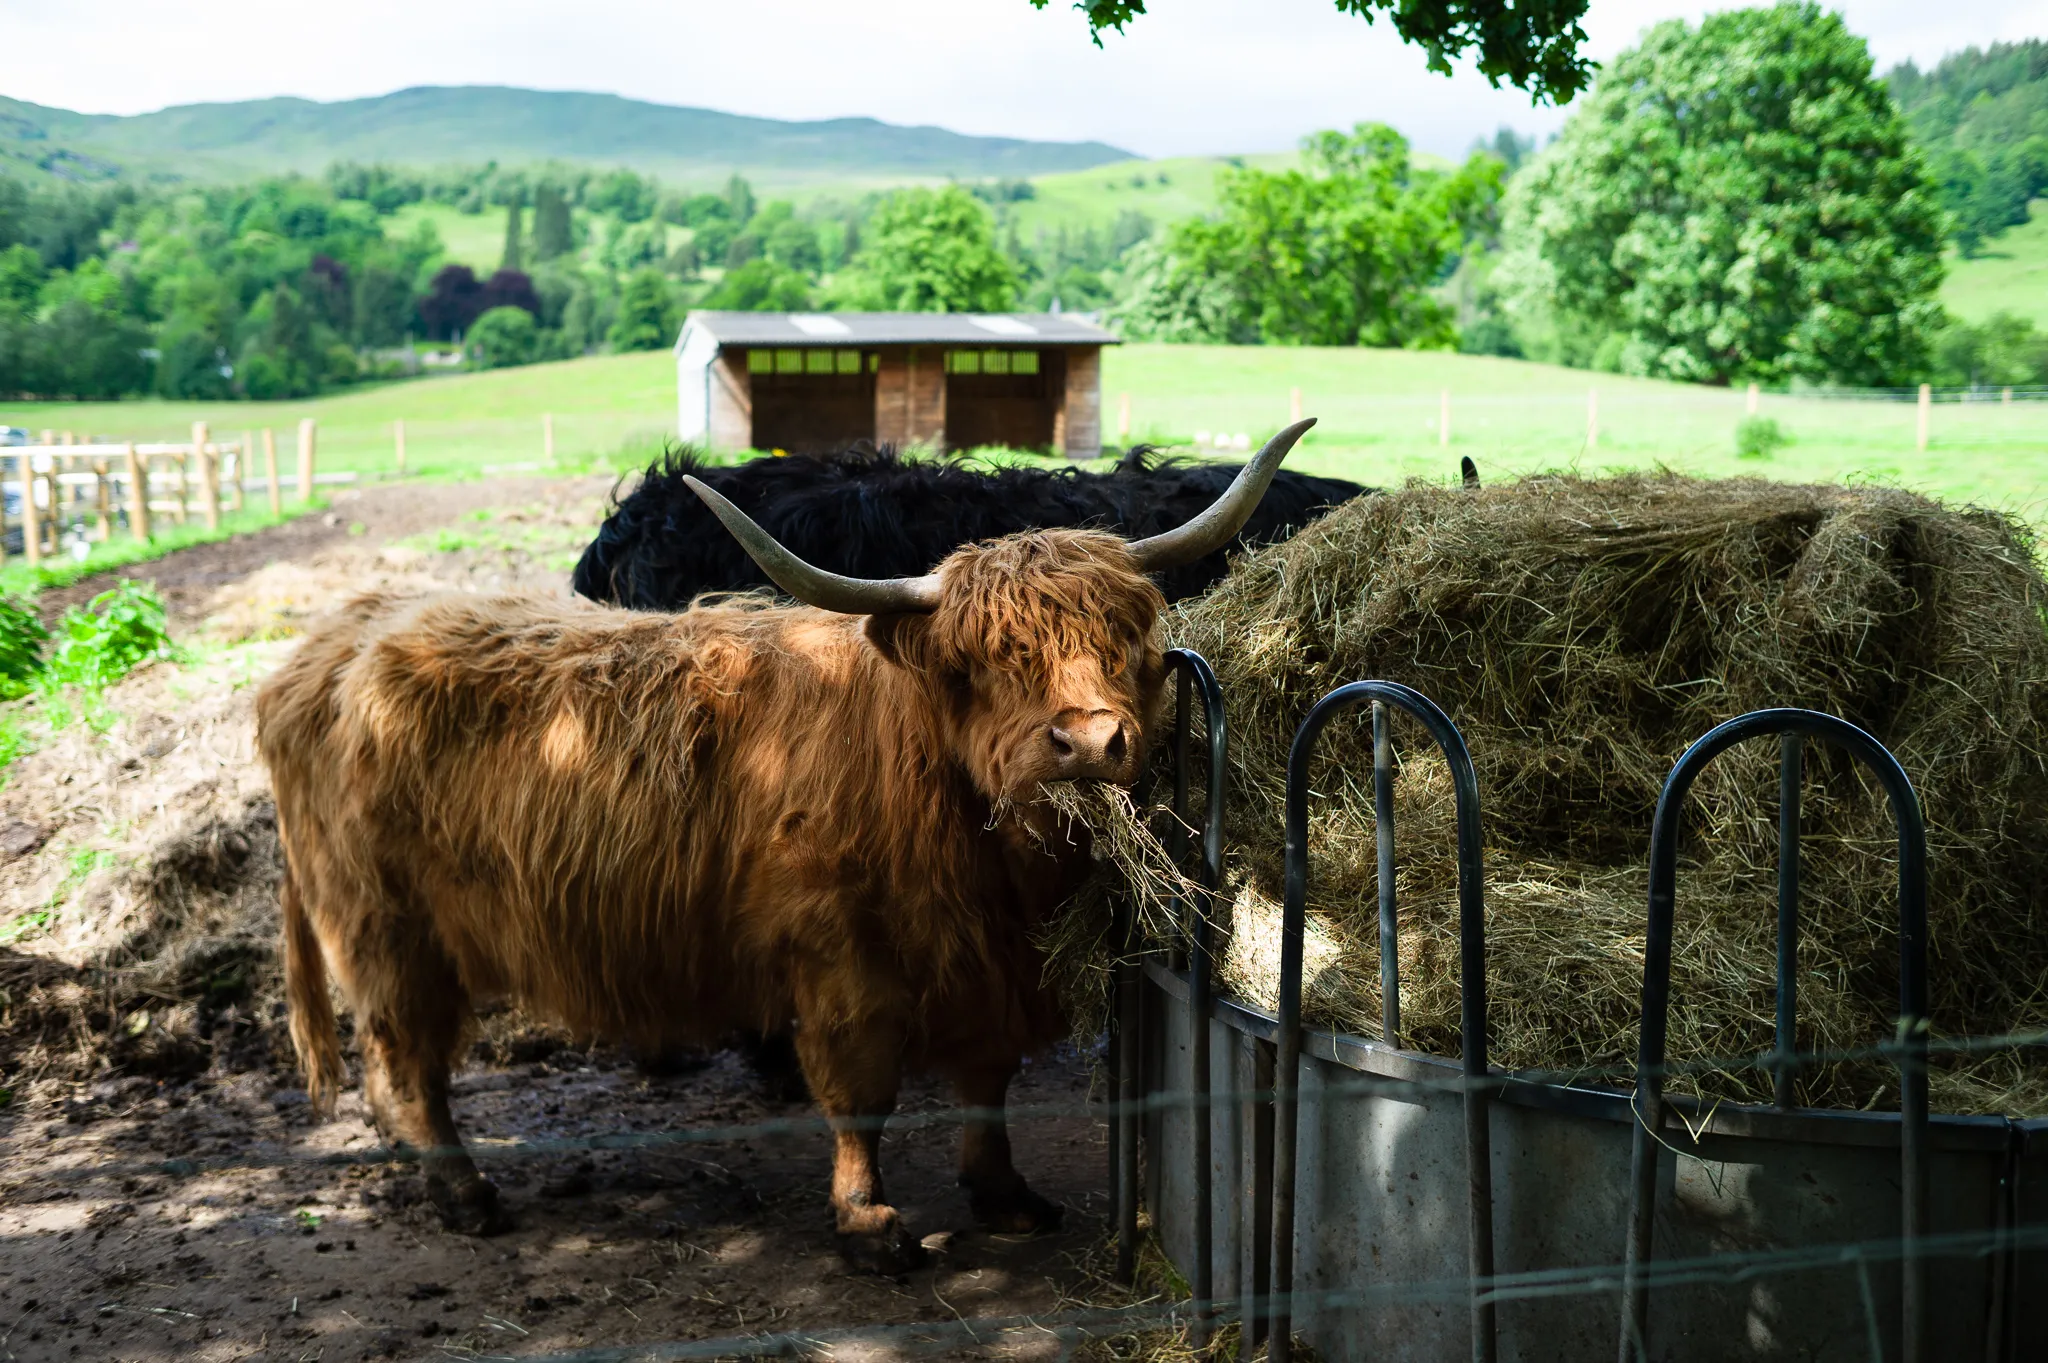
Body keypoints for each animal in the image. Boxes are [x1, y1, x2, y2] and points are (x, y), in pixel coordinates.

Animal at [257, 419, 1314, 1271]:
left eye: (1123, 639)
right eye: (983, 660)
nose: (1091, 740)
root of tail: (333, 644)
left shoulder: (990, 963)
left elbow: (987, 1080)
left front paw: (1006, 1196)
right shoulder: (843, 958)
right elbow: (860, 1087)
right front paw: (870, 1225)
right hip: (385, 930)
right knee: (407, 1062)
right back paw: (463, 1193)